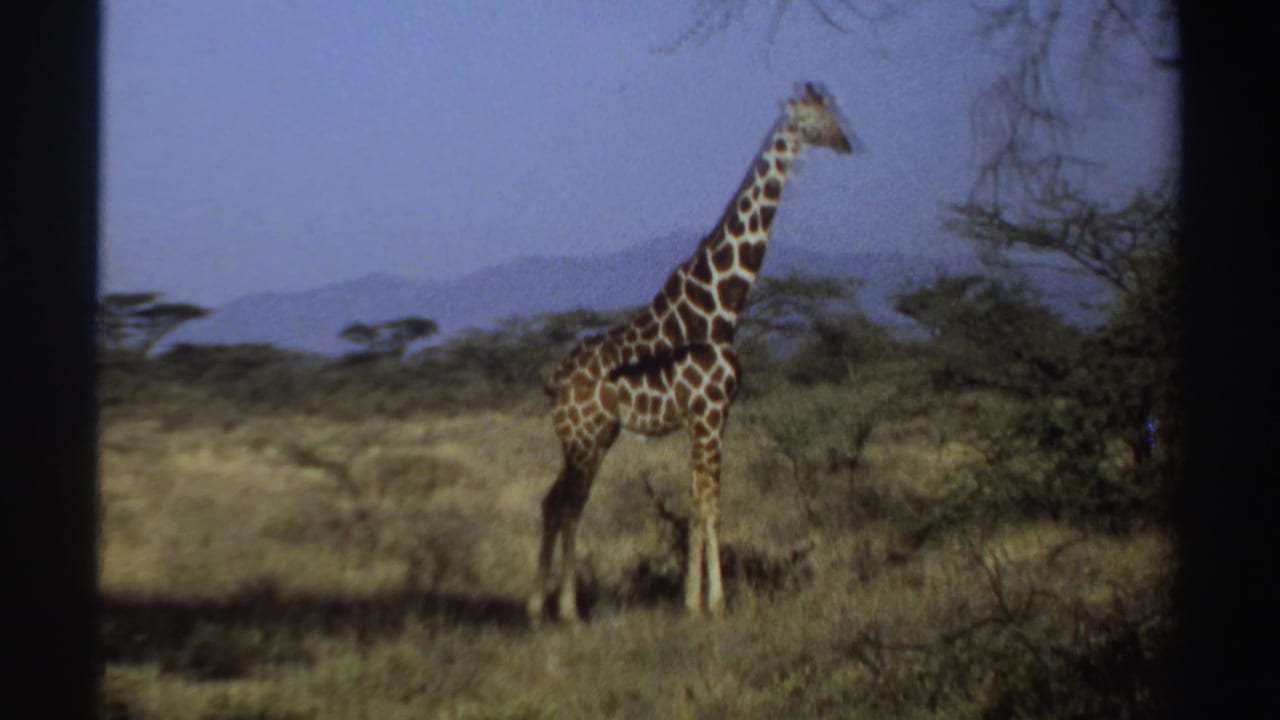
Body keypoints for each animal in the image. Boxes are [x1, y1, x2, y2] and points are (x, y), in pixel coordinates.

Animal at [528, 83, 861, 623]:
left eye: (832, 112)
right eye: (811, 119)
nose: (847, 143)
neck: (722, 306)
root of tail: (552, 383)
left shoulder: (707, 417)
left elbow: (696, 500)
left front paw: (692, 599)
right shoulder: (709, 412)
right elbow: (711, 504)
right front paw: (714, 603)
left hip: (590, 437)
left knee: (554, 502)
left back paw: (542, 606)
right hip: (585, 438)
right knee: (568, 505)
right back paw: (567, 609)